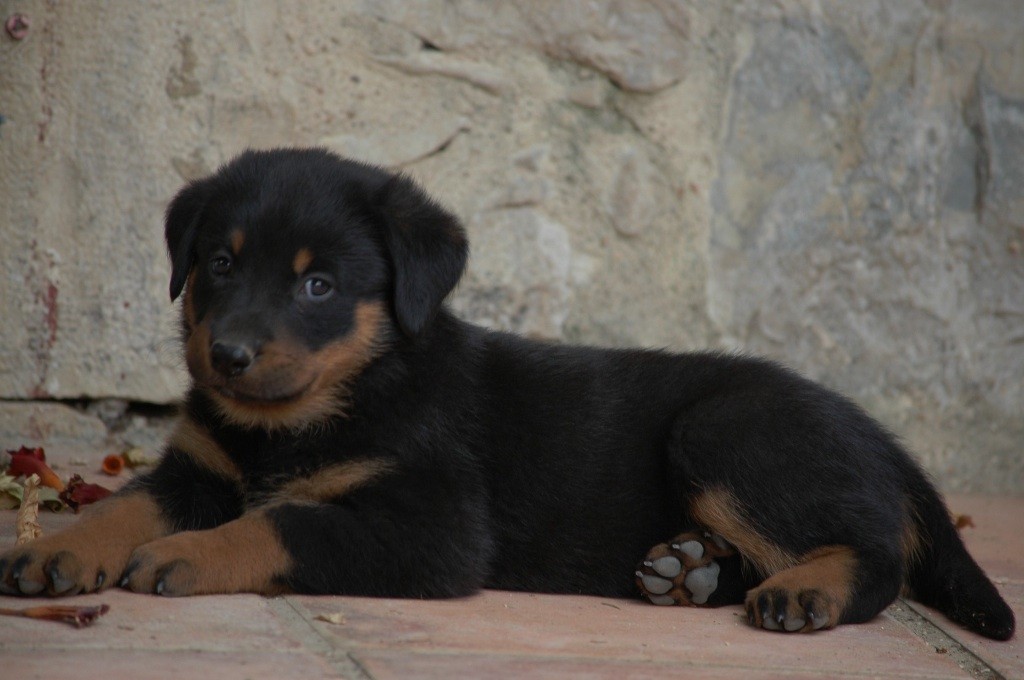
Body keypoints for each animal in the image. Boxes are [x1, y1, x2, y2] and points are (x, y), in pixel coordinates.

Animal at [0, 148, 1011, 639]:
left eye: (318, 285)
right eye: (217, 263)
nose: (229, 355)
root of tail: (881, 438)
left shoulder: (432, 524)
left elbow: (281, 522)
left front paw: (187, 555)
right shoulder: (198, 468)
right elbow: (125, 504)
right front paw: (58, 549)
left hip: (725, 430)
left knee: (877, 556)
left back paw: (803, 593)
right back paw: (687, 570)